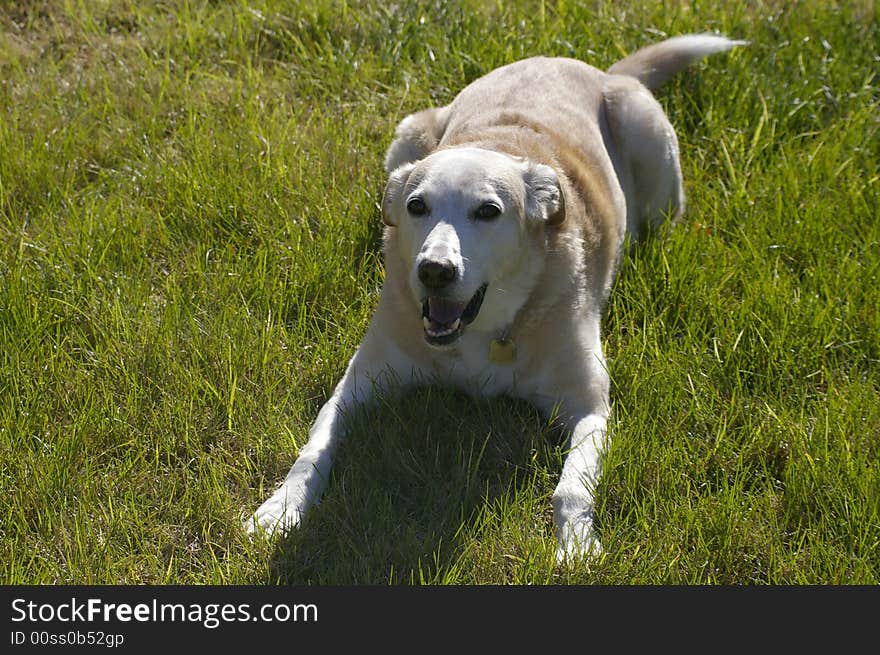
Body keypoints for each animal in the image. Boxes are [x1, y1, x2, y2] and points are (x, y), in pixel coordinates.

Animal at [246, 34, 744, 560]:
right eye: (416, 206)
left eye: (488, 211)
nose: (434, 271)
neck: (483, 333)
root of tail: (593, 69)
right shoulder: (356, 385)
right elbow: (312, 450)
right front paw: (280, 510)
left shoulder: (589, 406)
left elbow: (571, 487)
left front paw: (576, 545)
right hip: (408, 132)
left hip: (645, 134)